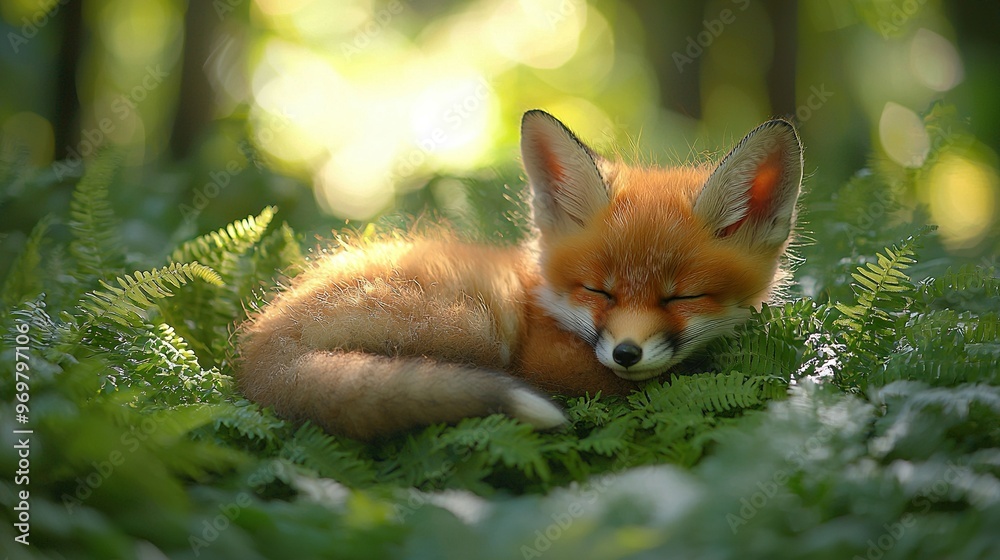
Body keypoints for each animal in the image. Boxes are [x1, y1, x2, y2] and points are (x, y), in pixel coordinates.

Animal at [236, 109, 803, 441]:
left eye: (682, 298)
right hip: (475, 327)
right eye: (598, 290)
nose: (626, 354)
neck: (546, 303)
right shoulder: (545, 362)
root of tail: (260, 345)